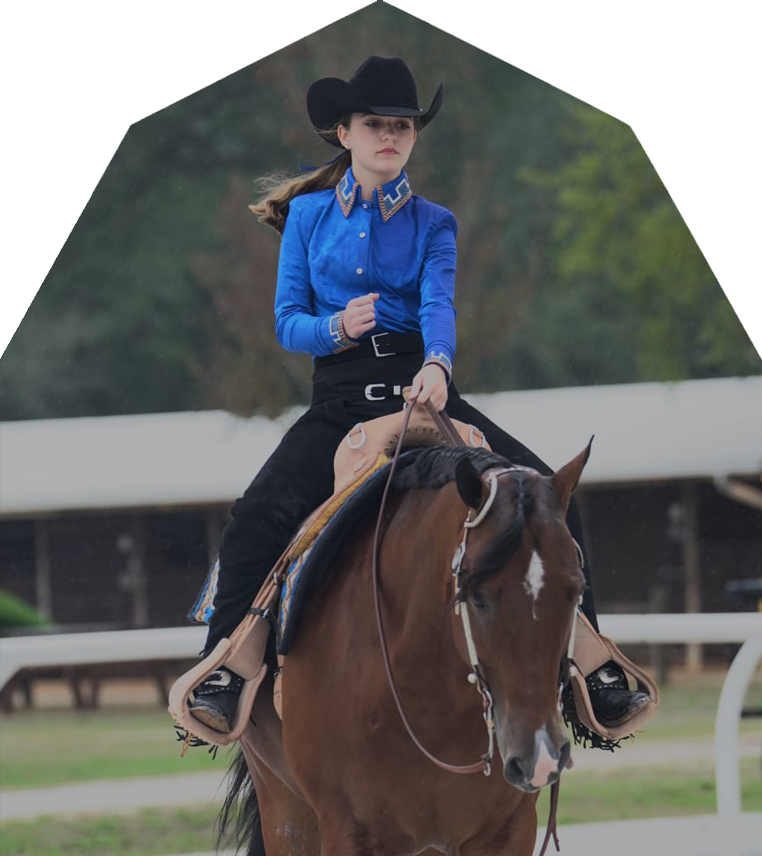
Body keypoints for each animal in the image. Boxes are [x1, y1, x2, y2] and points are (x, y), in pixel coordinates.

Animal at [218, 440, 591, 856]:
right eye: (476, 596)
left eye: (575, 590)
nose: (539, 756)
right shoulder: (347, 830)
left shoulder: (509, 831)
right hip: (286, 812)